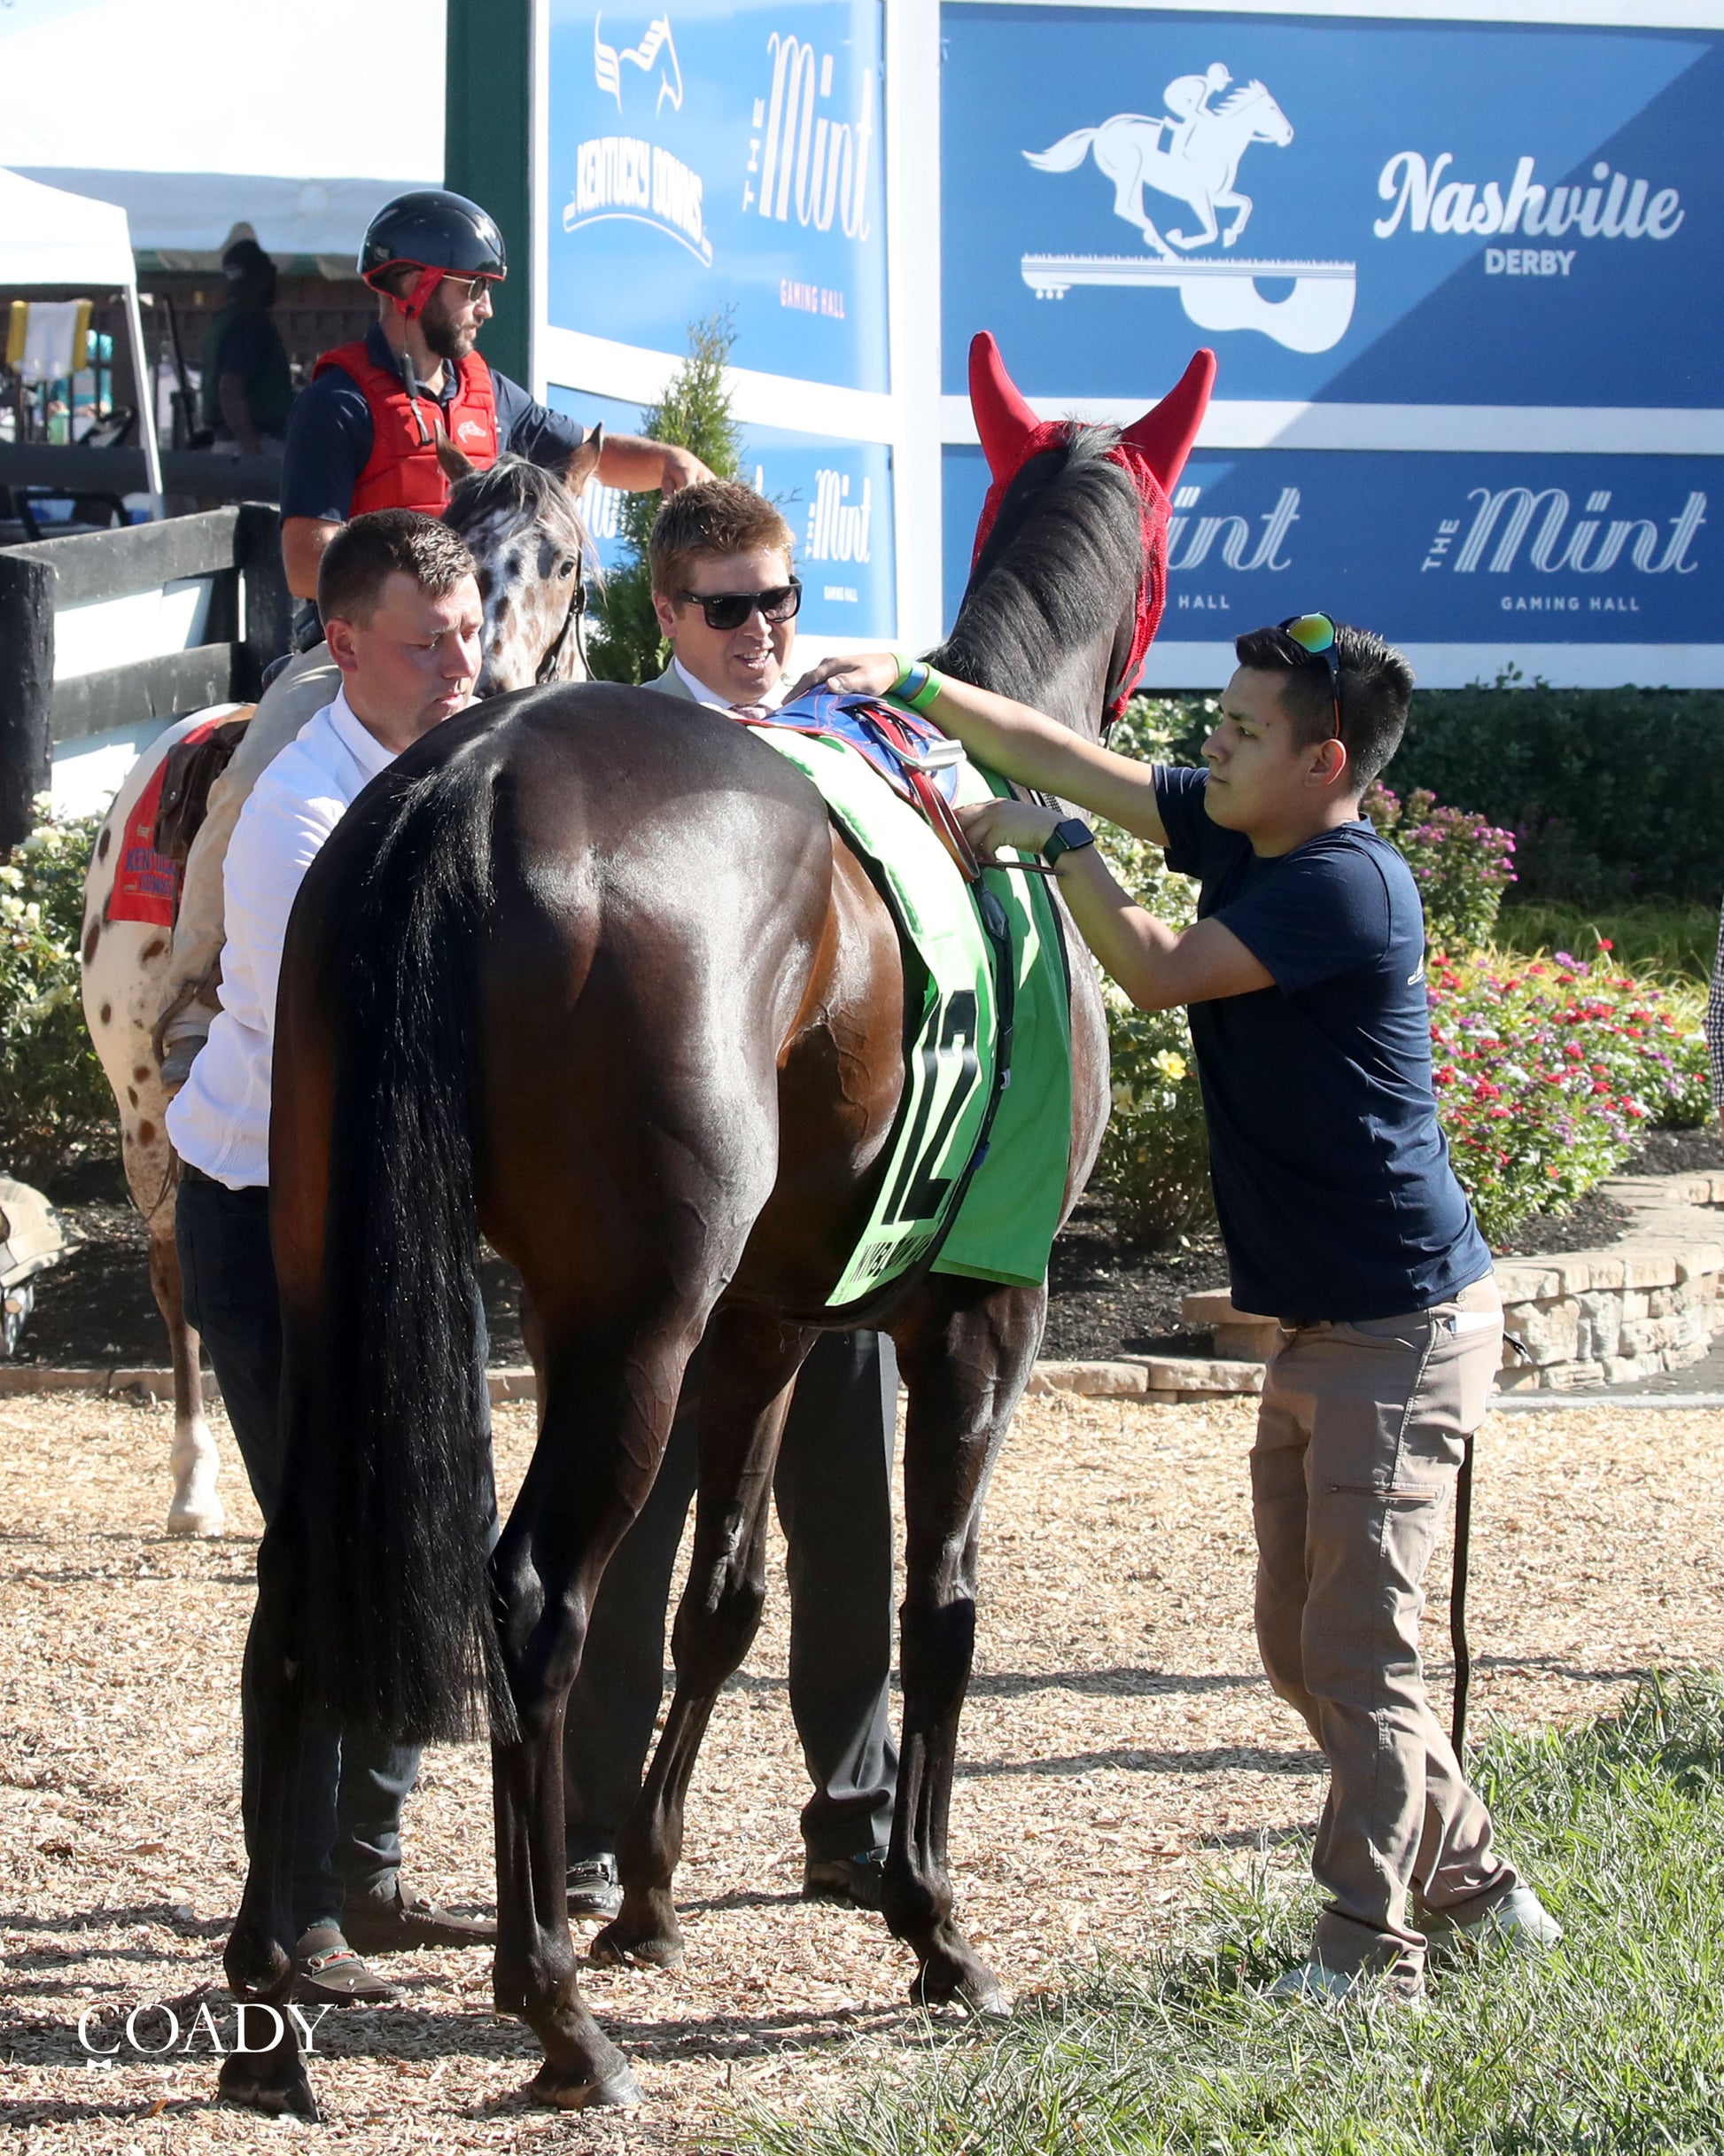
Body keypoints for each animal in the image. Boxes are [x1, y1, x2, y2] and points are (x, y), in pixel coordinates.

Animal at [77, 438, 600, 1538]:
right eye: (459, 540)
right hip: (139, 1107)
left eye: (563, 561)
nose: (484, 679)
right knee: (175, 1276)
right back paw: (194, 1482)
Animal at [219, 336, 1214, 2120]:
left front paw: (656, 1893)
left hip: (363, 1284)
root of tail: (471, 779)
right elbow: (939, 1601)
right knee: (534, 1599)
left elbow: (724, 1598)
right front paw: (932, 1919)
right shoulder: (983, 1311)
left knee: (299, 1582)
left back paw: (272, 1990)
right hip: (629, 1334)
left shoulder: (765, 1326)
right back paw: (550, 2008)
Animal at [1026, 81, 1293, 257]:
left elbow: (1246, 203)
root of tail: (1100, 130)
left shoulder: (1218, 196)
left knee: (1132, 209)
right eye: (1271, 108)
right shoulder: (1199, 196)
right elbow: (1212, 231)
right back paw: (1167, 249)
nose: (1290, 133)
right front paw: (1180, 239)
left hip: (1133, 179)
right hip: (1130, 170)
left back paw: (1159, 244)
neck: (1218, 145)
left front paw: (1232, 234)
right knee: (1125, 208)